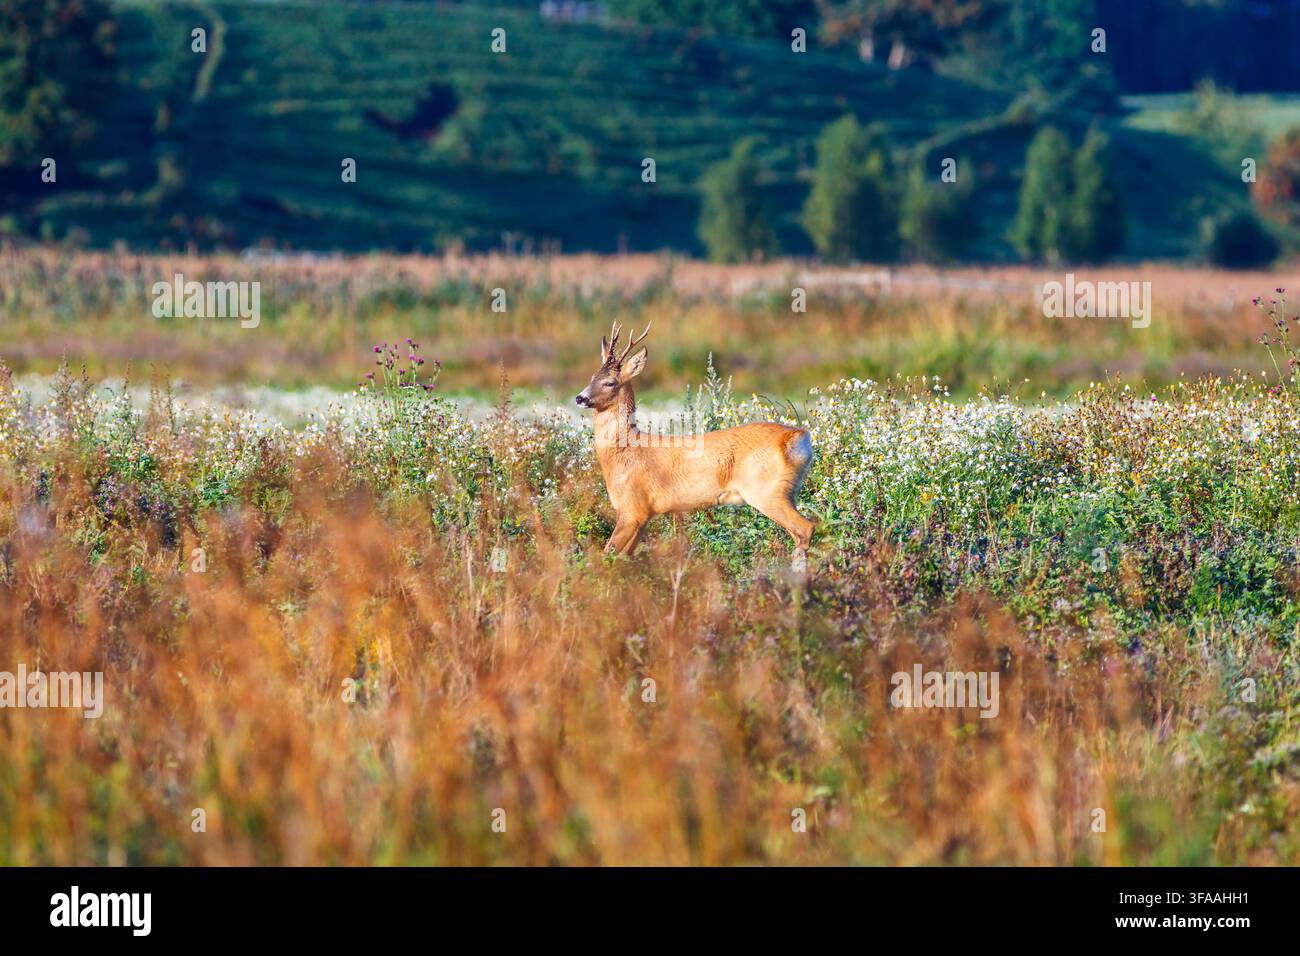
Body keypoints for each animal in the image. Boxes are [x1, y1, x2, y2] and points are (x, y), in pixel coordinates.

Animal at [575, 321, 815, 561]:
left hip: (767, 491)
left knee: (806, 528)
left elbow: (606, 554)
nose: (580, 398)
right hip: (787, 491)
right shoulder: (644, 515)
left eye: (610, 383)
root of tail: (799, 438)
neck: (624, 451)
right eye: (591, 378)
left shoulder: (633, 508)